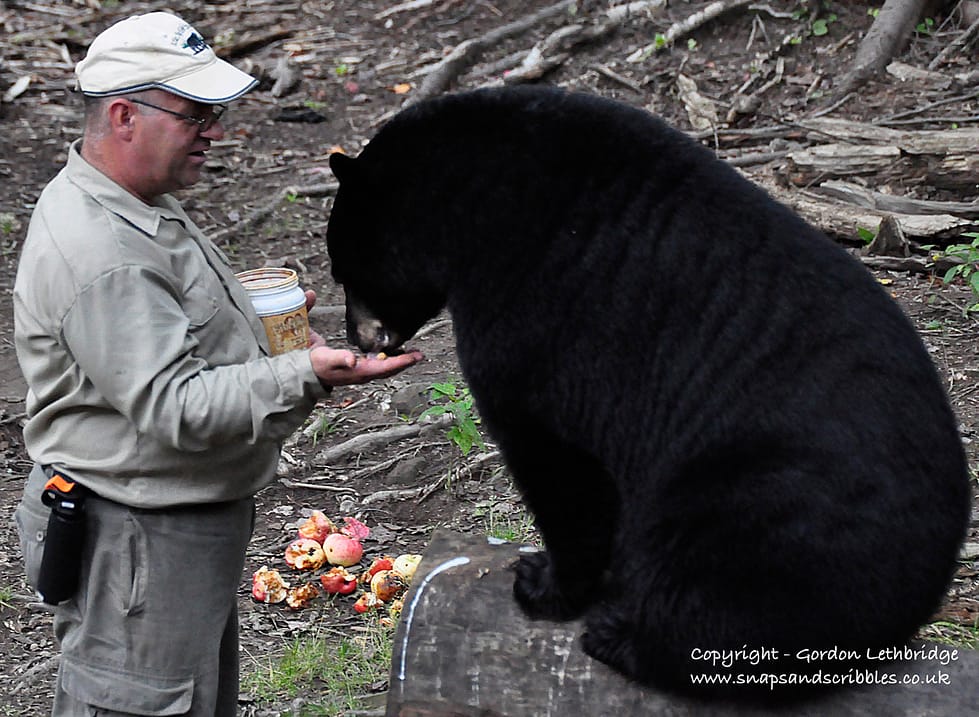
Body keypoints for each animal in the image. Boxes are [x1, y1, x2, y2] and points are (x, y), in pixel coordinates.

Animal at [325, 85, 970, 698]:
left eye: (342, 269)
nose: (355, 337)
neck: (471, 200)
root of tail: (919, 595)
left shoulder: (535, 320)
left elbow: (557, 464)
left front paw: (544, 584)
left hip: (760, 500)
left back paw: (622, 638)